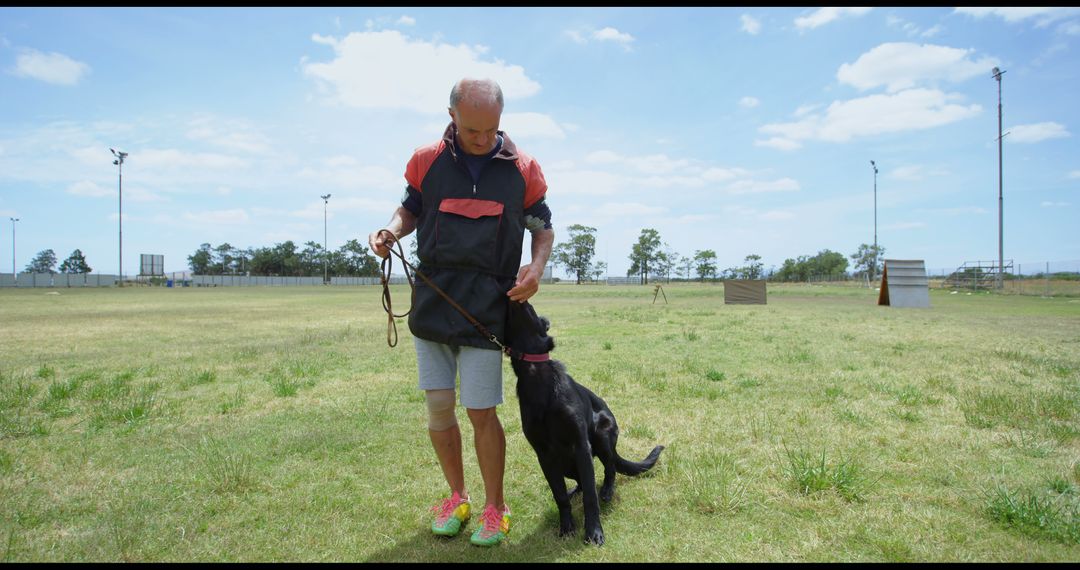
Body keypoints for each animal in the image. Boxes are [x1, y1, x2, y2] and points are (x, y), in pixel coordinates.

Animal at [503, 300, 660, 546]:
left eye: (529, 306)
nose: (514, 294)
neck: (534, 373)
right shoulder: (544, 456)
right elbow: (559, 495)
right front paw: (567, 526)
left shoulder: (581, 445)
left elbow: (590, 497)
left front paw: (594, 531)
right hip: (566, 465)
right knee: (581, 481)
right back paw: (574, 491)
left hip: (602, 435)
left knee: (609, 470)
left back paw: (607, 491)